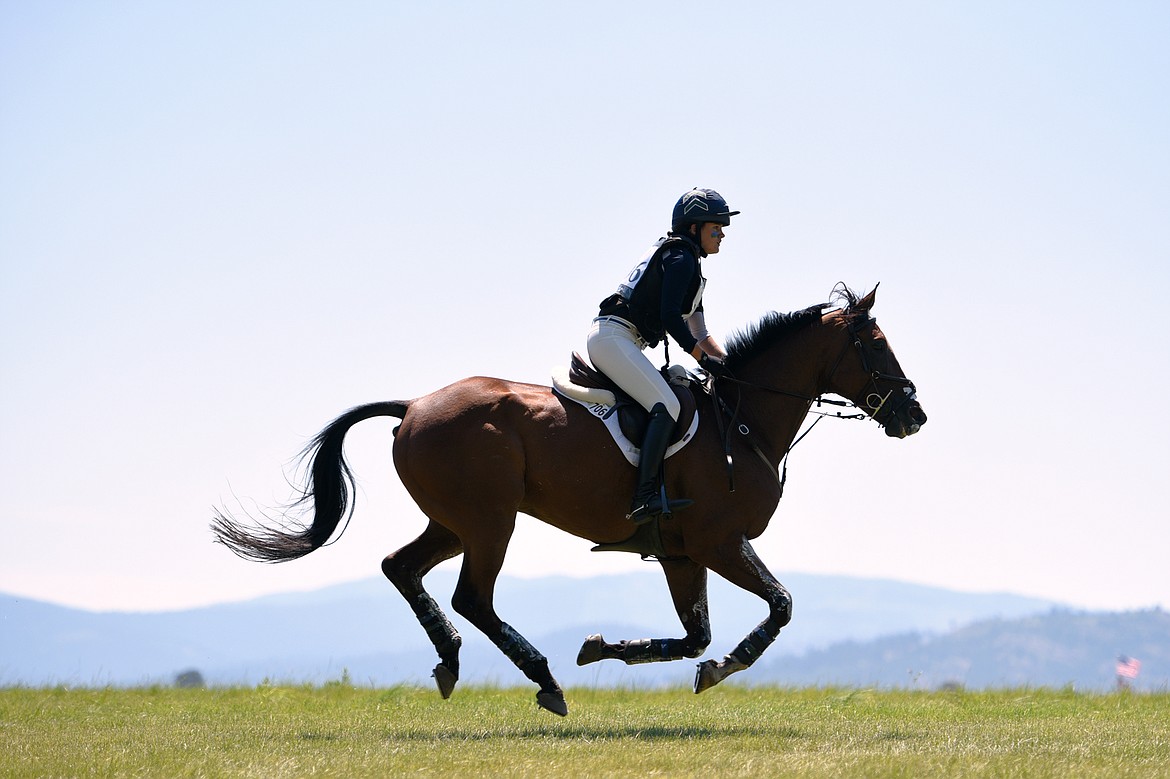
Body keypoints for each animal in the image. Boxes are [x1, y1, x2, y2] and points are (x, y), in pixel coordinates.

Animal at [210, 285, 921, 715]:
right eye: (876, 345)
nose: (913, 414)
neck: (740, 419)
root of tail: (413, 405)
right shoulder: (718, 542)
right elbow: (778, 607)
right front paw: (723, 666)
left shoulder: (681, 553)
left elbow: (694, 634)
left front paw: (606, 648)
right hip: (490, 521)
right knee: (473, 597)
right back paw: (545, 680)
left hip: (453, 522)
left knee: (401, 567)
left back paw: (450, 660)